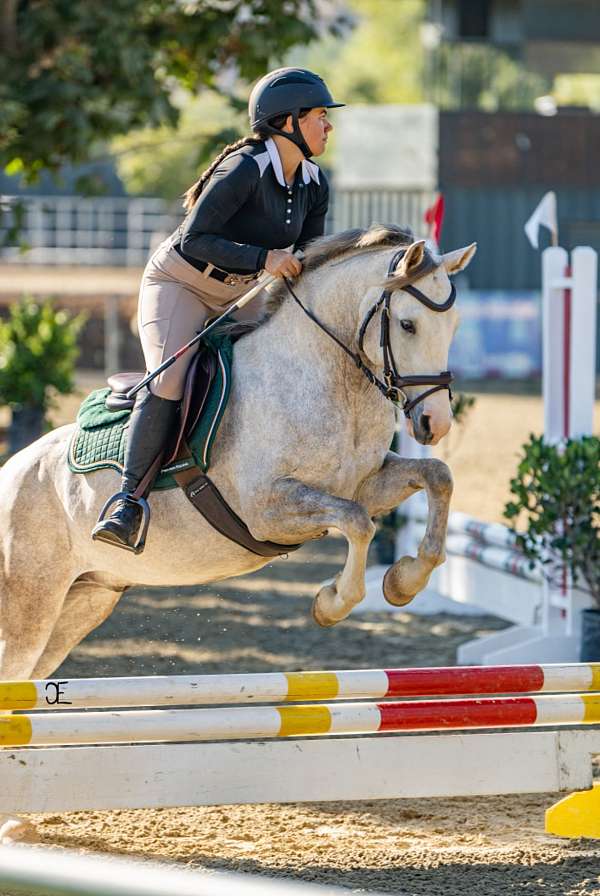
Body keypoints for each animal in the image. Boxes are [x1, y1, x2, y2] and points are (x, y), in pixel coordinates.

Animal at [1, 224, 478, 840]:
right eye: (409, 325)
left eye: (456, 326)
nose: (433, 424)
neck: (330, 378)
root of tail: (10, 472)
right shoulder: (268, 507)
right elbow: (357, 522)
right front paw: (332, 602)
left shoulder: (367, 482)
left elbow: (435, 478)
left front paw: (403, 582)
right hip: (30, 604)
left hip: (82, 603)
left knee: (26, 685)